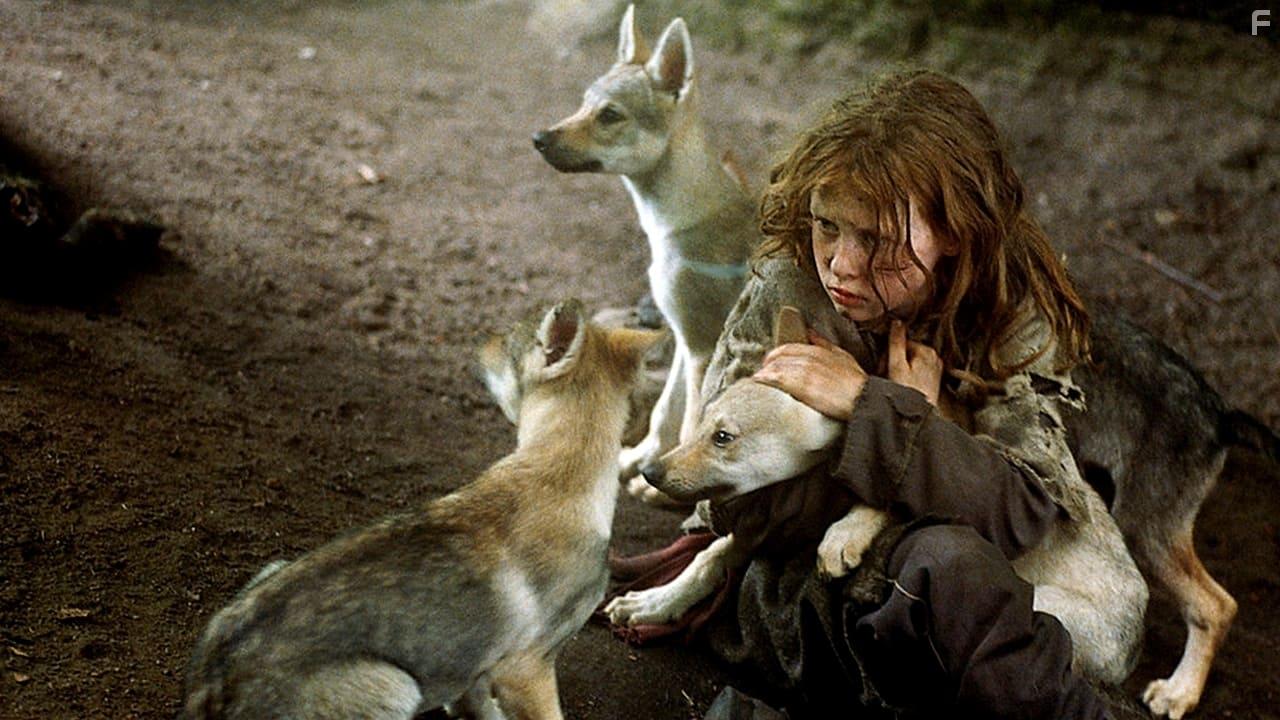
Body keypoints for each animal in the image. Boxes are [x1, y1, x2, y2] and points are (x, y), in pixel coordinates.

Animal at [180, 300, 660, 720]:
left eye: (505, 343)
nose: (479, 339)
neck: (558, 472)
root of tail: (211, 685)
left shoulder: (481, 668)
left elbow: (477, 707)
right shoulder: (527, 670)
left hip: (270, 570)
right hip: (396, 686)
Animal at [532, 5, 757, 501]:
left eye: (610, 115)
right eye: (583, 103)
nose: (538, 137)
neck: (673, 224)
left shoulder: (703, 344)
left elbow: (692, 422)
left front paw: (665, 489)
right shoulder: (682, 338)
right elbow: (665, 415)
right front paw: (640, 462)